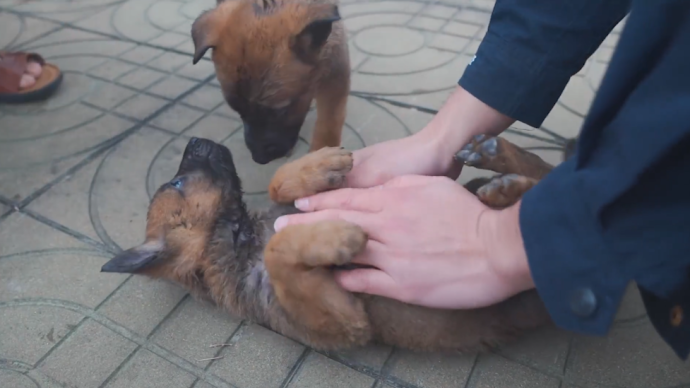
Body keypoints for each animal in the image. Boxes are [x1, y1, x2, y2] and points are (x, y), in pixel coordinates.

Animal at [101, 137, 552, 354]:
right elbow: (278, 252)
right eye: (176, 182)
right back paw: (505, 186)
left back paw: (496, 160)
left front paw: (316, 164)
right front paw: (337, 237)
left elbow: (277, 182)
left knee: (546, 170)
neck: (238, 237)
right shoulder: (344, 320)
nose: (194, 138)